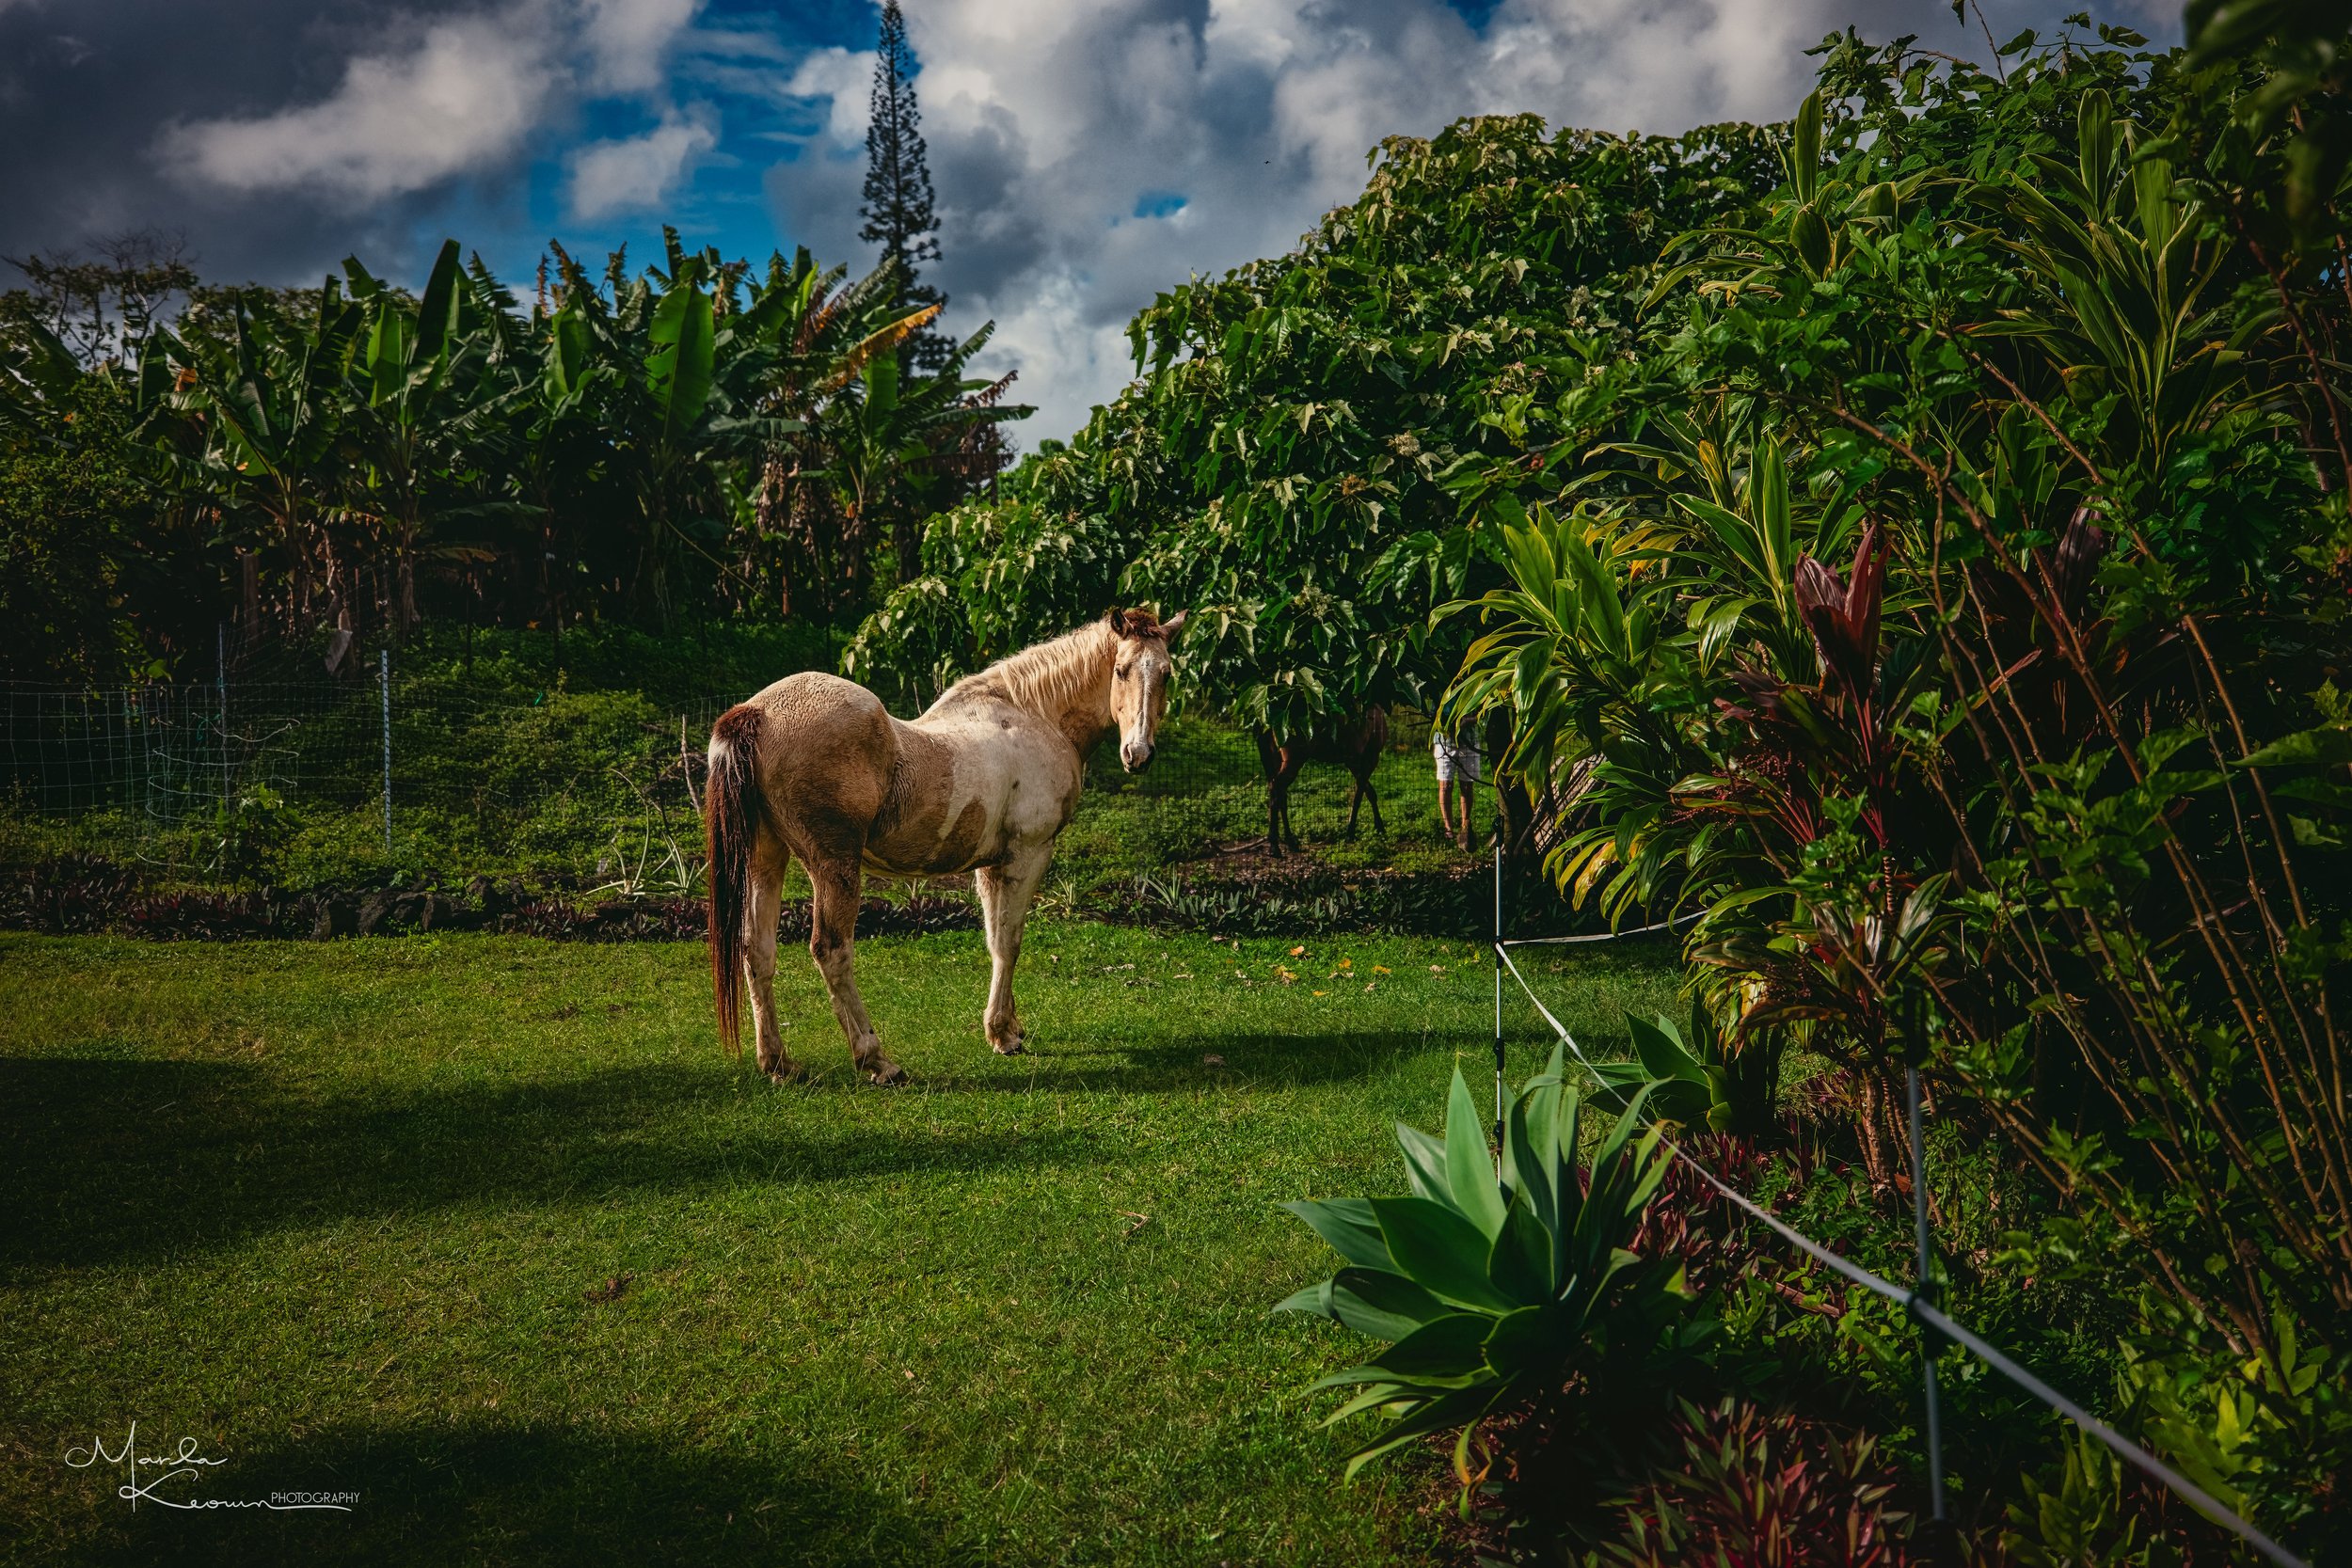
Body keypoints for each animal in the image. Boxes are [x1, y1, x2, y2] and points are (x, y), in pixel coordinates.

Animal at [703, 607, 1187, 1084]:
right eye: (1121, 670)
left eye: (1166, 673)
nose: (1139, 754)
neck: (1034, 716)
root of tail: (756, 713)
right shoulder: (1028, 855)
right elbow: (1010, 941)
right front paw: (1002, 1035)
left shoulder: (990, 866)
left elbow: (994, 939)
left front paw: (1007, 1027)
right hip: (833, 867)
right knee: (831, 950)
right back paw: (877, 1061)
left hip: (766, 859)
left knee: (756, 951)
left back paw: (779, 1064)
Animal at [1254, 709, 1389, 857]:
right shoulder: (1368, 757)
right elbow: (1360, 796)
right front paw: (1353, 833)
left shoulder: (1354, 761)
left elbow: (1368, 793)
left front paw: (1378, 829)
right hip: (1294, 760)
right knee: (1276, 788)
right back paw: (1274, 847)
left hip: (1276, 759)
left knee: (1279, 793)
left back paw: (1291, 841)